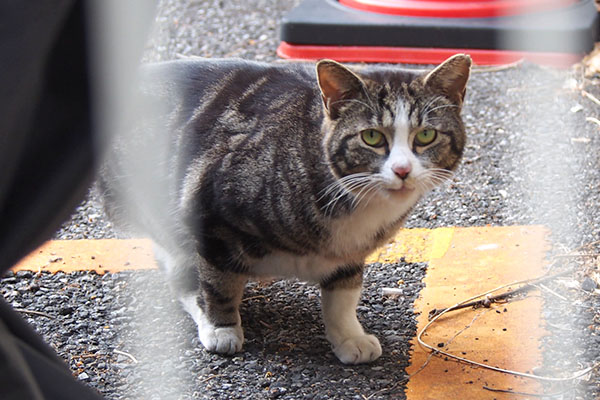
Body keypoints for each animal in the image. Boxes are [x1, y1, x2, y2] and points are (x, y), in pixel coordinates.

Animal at [101, 54, 472, 366]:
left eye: (425, 135)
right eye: (371, 137)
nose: (402, 170)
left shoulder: (349, 254)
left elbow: (343, 296)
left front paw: (349, 337)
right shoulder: (212, 215)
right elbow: (218, 282)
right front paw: (222, 328)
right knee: (182, 270)